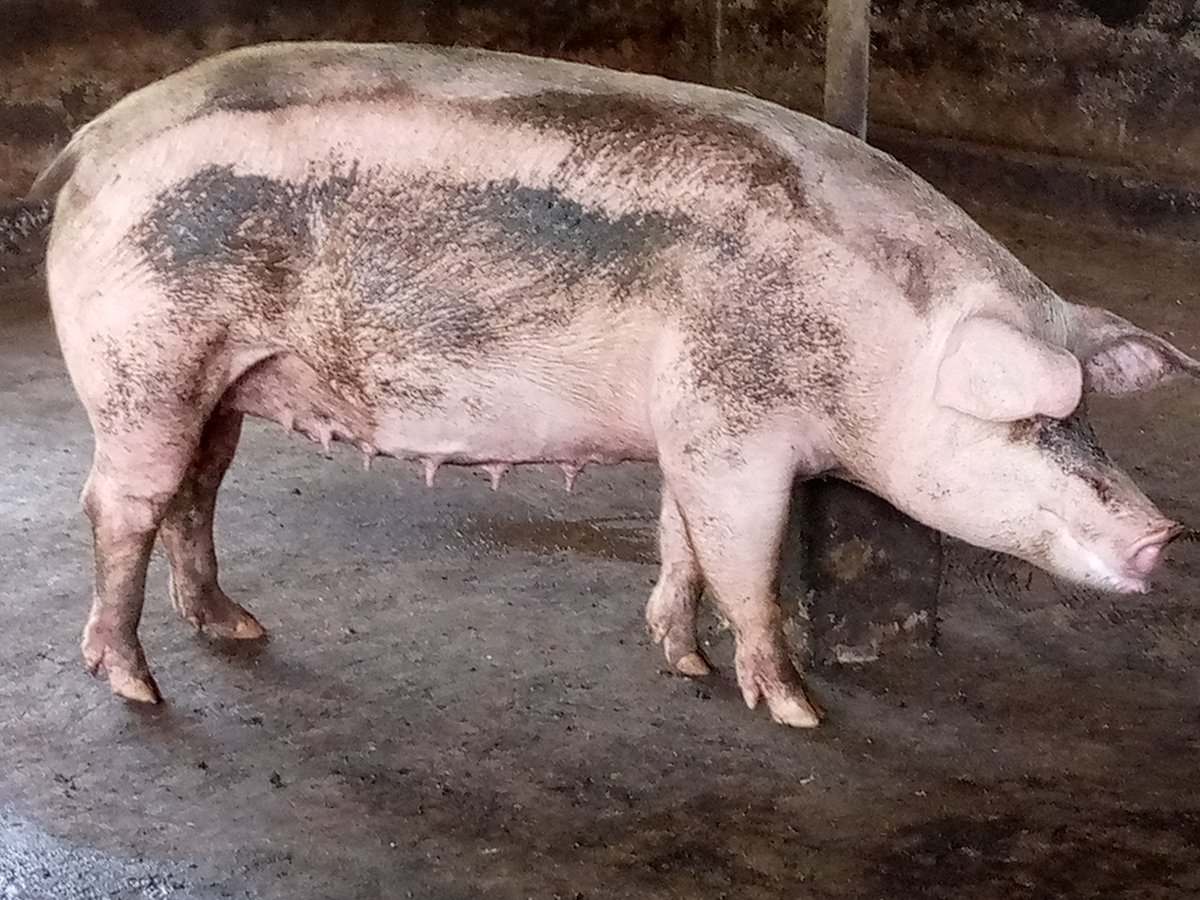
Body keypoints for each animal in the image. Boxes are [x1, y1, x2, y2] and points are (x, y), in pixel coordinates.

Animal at [31, 41, 1200, 727]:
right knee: (119, 503)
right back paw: (137, 683)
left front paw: (682, 666)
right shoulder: (735, 432)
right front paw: (797, 711)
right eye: (1033, 422)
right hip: (144, 362)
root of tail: (89, 142)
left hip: (219, 382)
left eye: (1089, 418)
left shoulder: (689, 427)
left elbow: (682, 540)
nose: (1165, 533)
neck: (874, 339)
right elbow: (745, 560)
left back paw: (238, 629)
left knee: (197, 491)